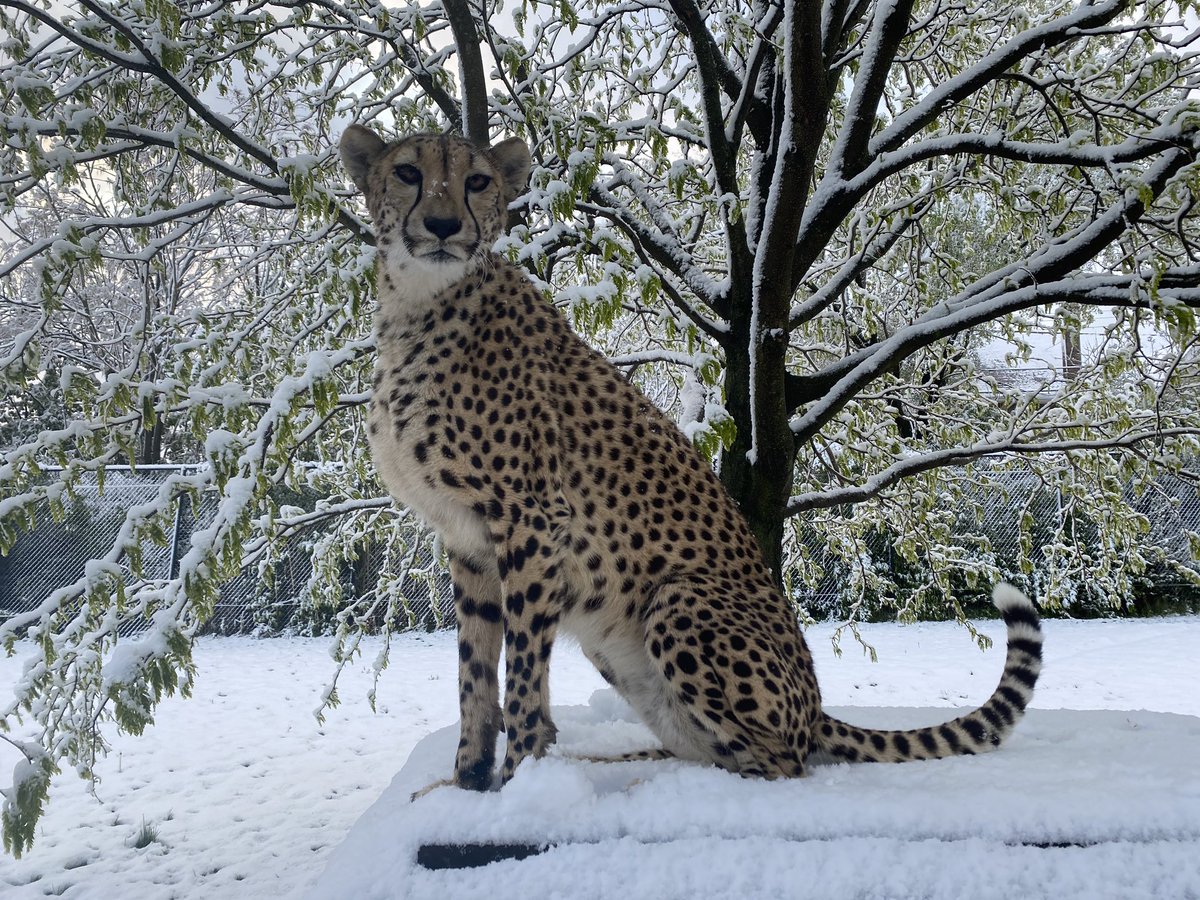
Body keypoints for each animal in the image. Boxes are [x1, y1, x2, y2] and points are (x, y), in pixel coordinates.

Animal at [339, 124, 1044, 791]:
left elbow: (522, 679)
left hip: (675, 600)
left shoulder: (534, 525)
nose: (442, 225)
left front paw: (519, 783)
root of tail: (815, 709)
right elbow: (475, 676)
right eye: (409, 173)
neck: (419, 305)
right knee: (717, 747)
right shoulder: (467, 542)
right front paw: (468, 782)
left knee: (782, 764)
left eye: (478, 181)